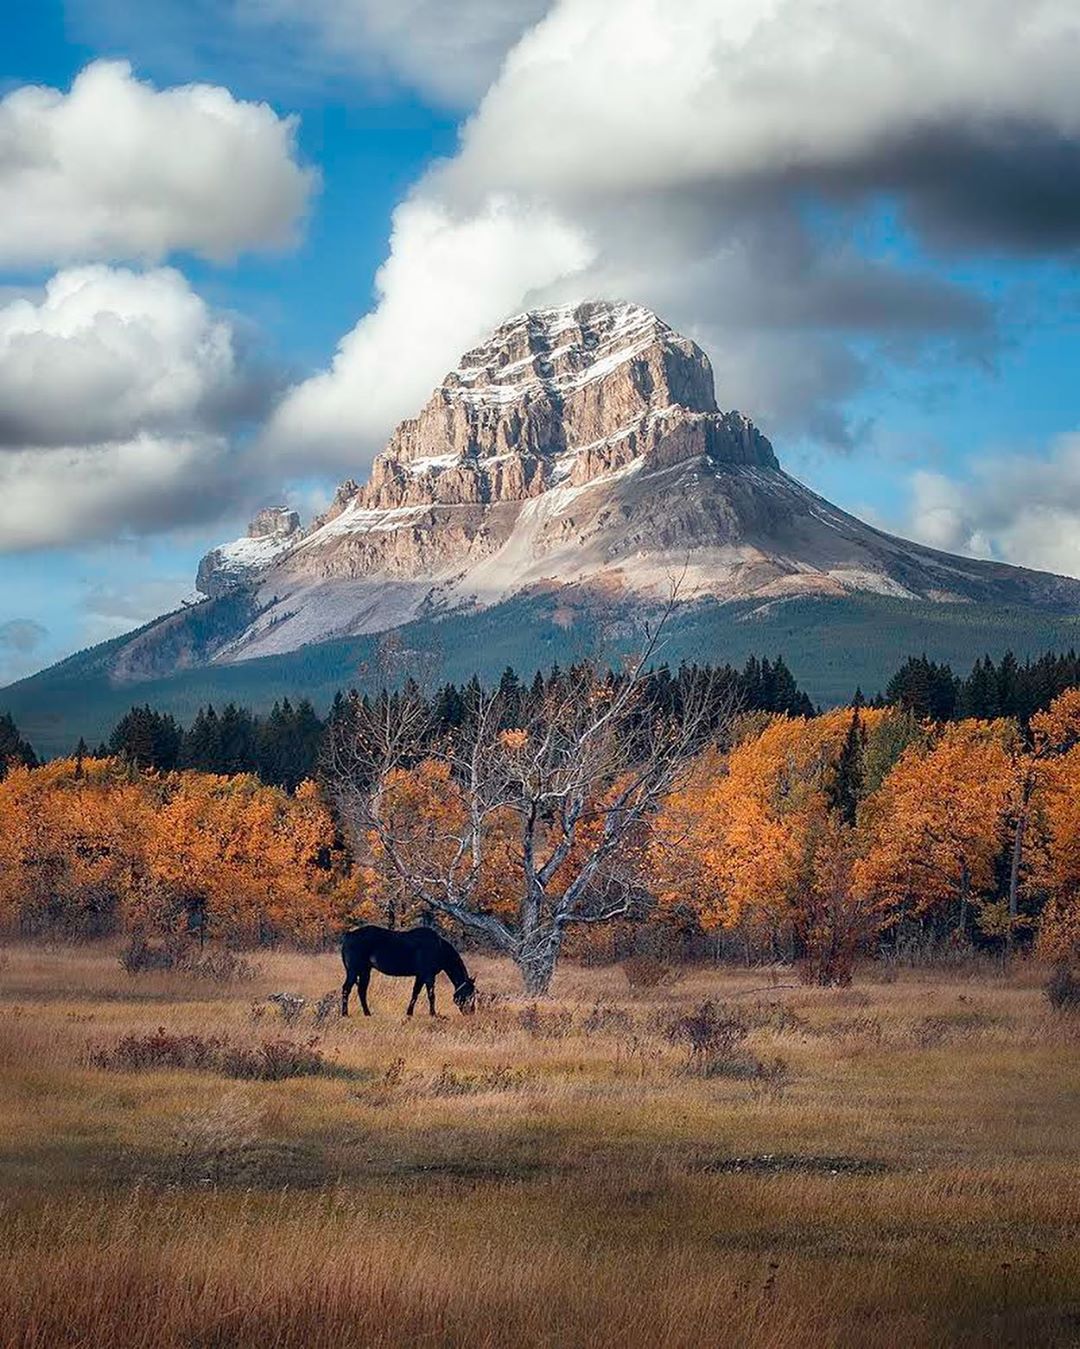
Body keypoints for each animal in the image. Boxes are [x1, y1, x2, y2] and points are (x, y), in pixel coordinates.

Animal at [341, 922, 477, 1014]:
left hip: (365, 971)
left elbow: (415, 994)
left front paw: (409, 1014)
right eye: (470, 995)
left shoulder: (420, 976)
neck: (439, 948)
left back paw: (367, 1014)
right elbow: (431, 995)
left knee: (361, 991)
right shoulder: (428, 976)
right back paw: (345, 1014)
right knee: (346, 989)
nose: (471, 1012)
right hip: (353, 971)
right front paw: (433, 1014)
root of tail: (348, 935)